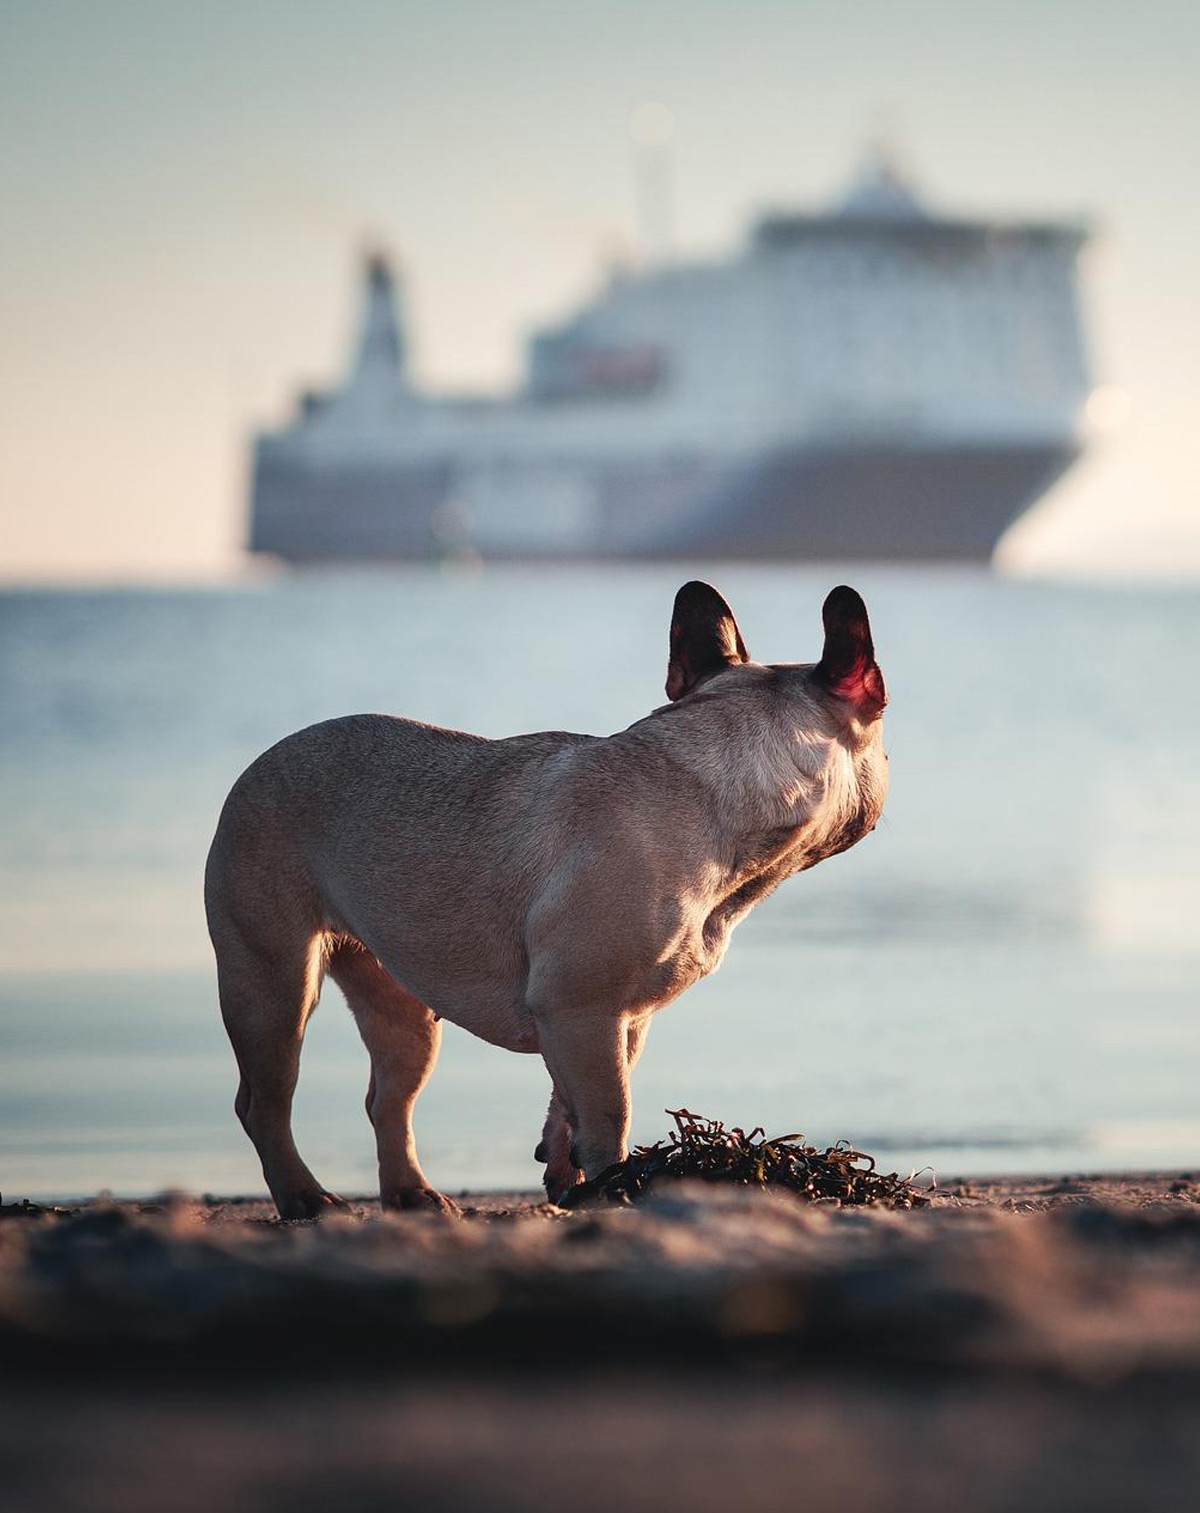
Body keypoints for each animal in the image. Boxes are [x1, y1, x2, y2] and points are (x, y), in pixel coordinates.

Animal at [201, 580, 883, 1216]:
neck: (715, 787)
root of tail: (261, 762)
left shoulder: (608, 1019)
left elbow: (571, 1102)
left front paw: (566, 1172)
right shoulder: (583, 1007)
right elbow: (610, 1113)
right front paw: (614, 1186)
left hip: (400, 1004)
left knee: (388, 1098)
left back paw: (411, 1193)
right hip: (273, 981)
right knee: (263, 1101)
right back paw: (303, 1197)